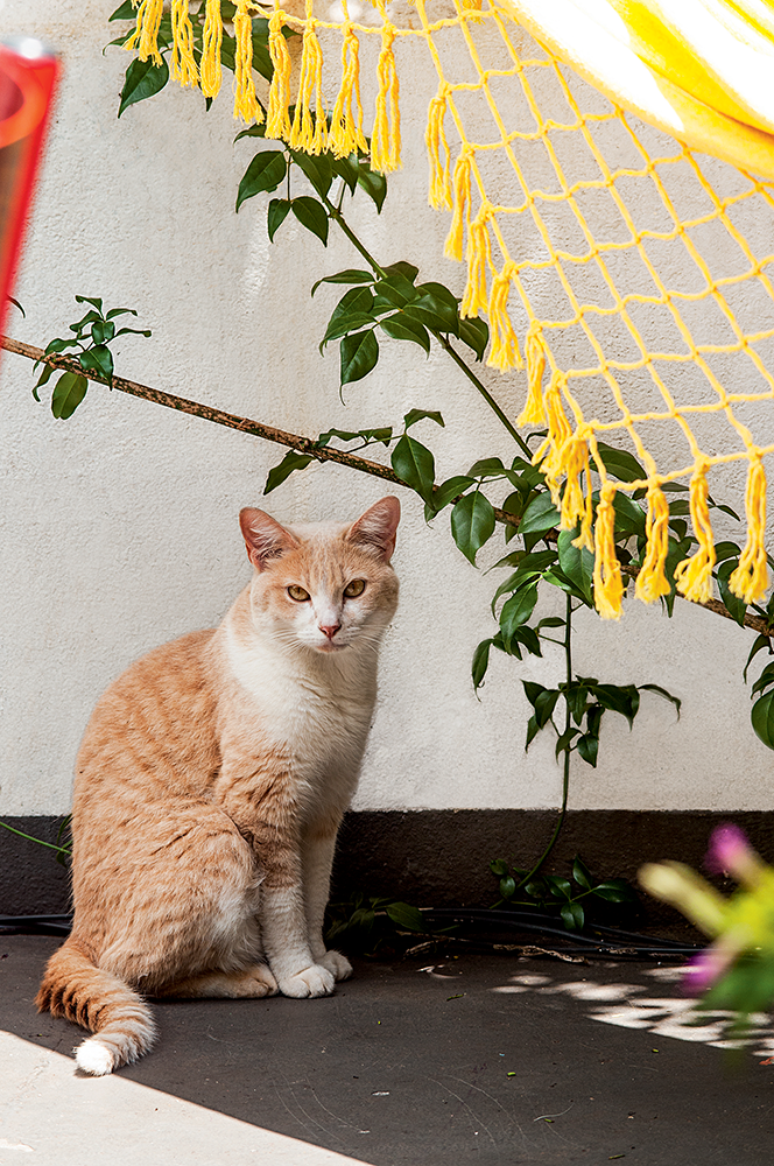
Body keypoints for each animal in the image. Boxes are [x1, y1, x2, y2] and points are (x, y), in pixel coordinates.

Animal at [35, 494, 398, 1072]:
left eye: (354, 589)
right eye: (298, 593)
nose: (329, 627)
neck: (331, 689)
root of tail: (75, 933)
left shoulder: (323, 813)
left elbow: (314, 897)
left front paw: (320, 955)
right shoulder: (260, 807)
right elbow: (284, 904)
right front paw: (299, 970)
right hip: (214, 833)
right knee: (132, 972)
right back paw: (251, 977)